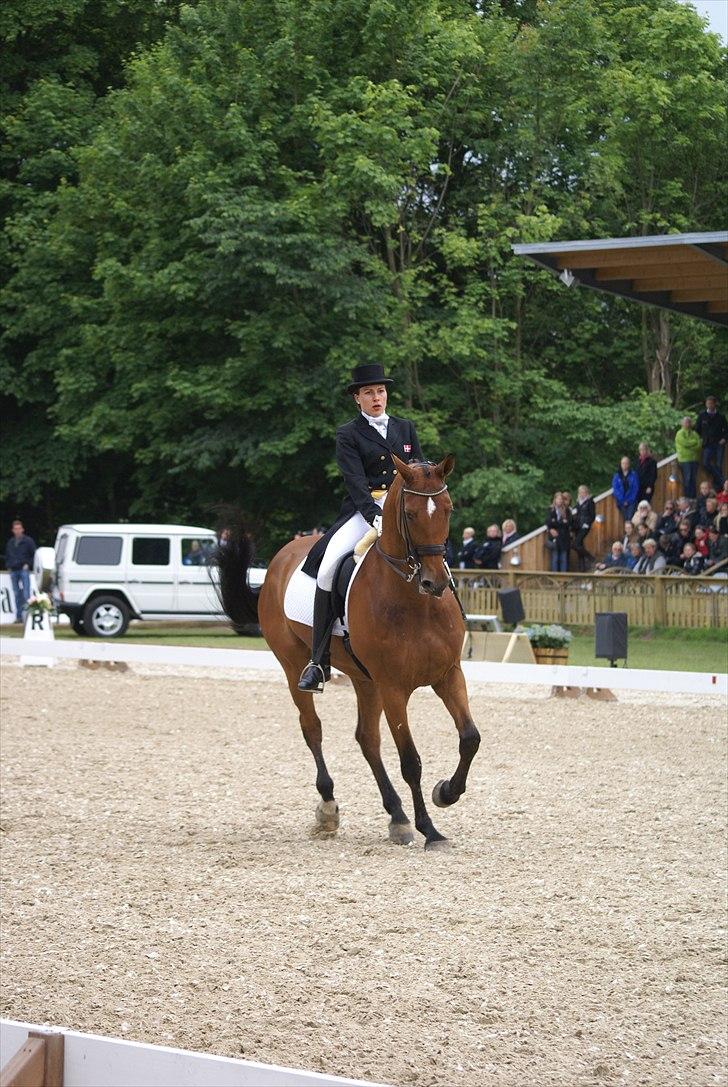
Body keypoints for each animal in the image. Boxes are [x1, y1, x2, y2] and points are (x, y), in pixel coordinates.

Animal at [214, 450, 482, 847]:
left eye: (447, 509)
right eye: (410, 514)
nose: (433, 583)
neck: (414, 602)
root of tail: (282, 556)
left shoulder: (448, 675)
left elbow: (469, 739)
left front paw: (445, 793)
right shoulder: (393, 688)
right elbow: (411, 761)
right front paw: (430, 829)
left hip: (364, 679)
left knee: (367, 739)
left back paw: (397, 816)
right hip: (294, 666)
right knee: (312, 728)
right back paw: (328, 808)